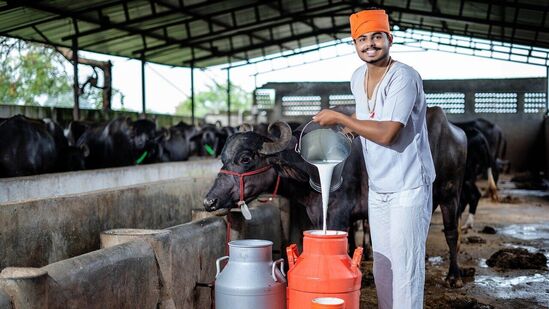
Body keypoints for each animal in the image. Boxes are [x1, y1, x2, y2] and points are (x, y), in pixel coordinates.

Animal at [204, 107, 466, 288]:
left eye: (246, 158)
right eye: (223, 158)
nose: (209, 201)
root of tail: (454, 132)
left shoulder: (340, 214)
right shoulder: (317, 214)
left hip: (451, 194)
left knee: (451, 233)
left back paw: (454, 276)